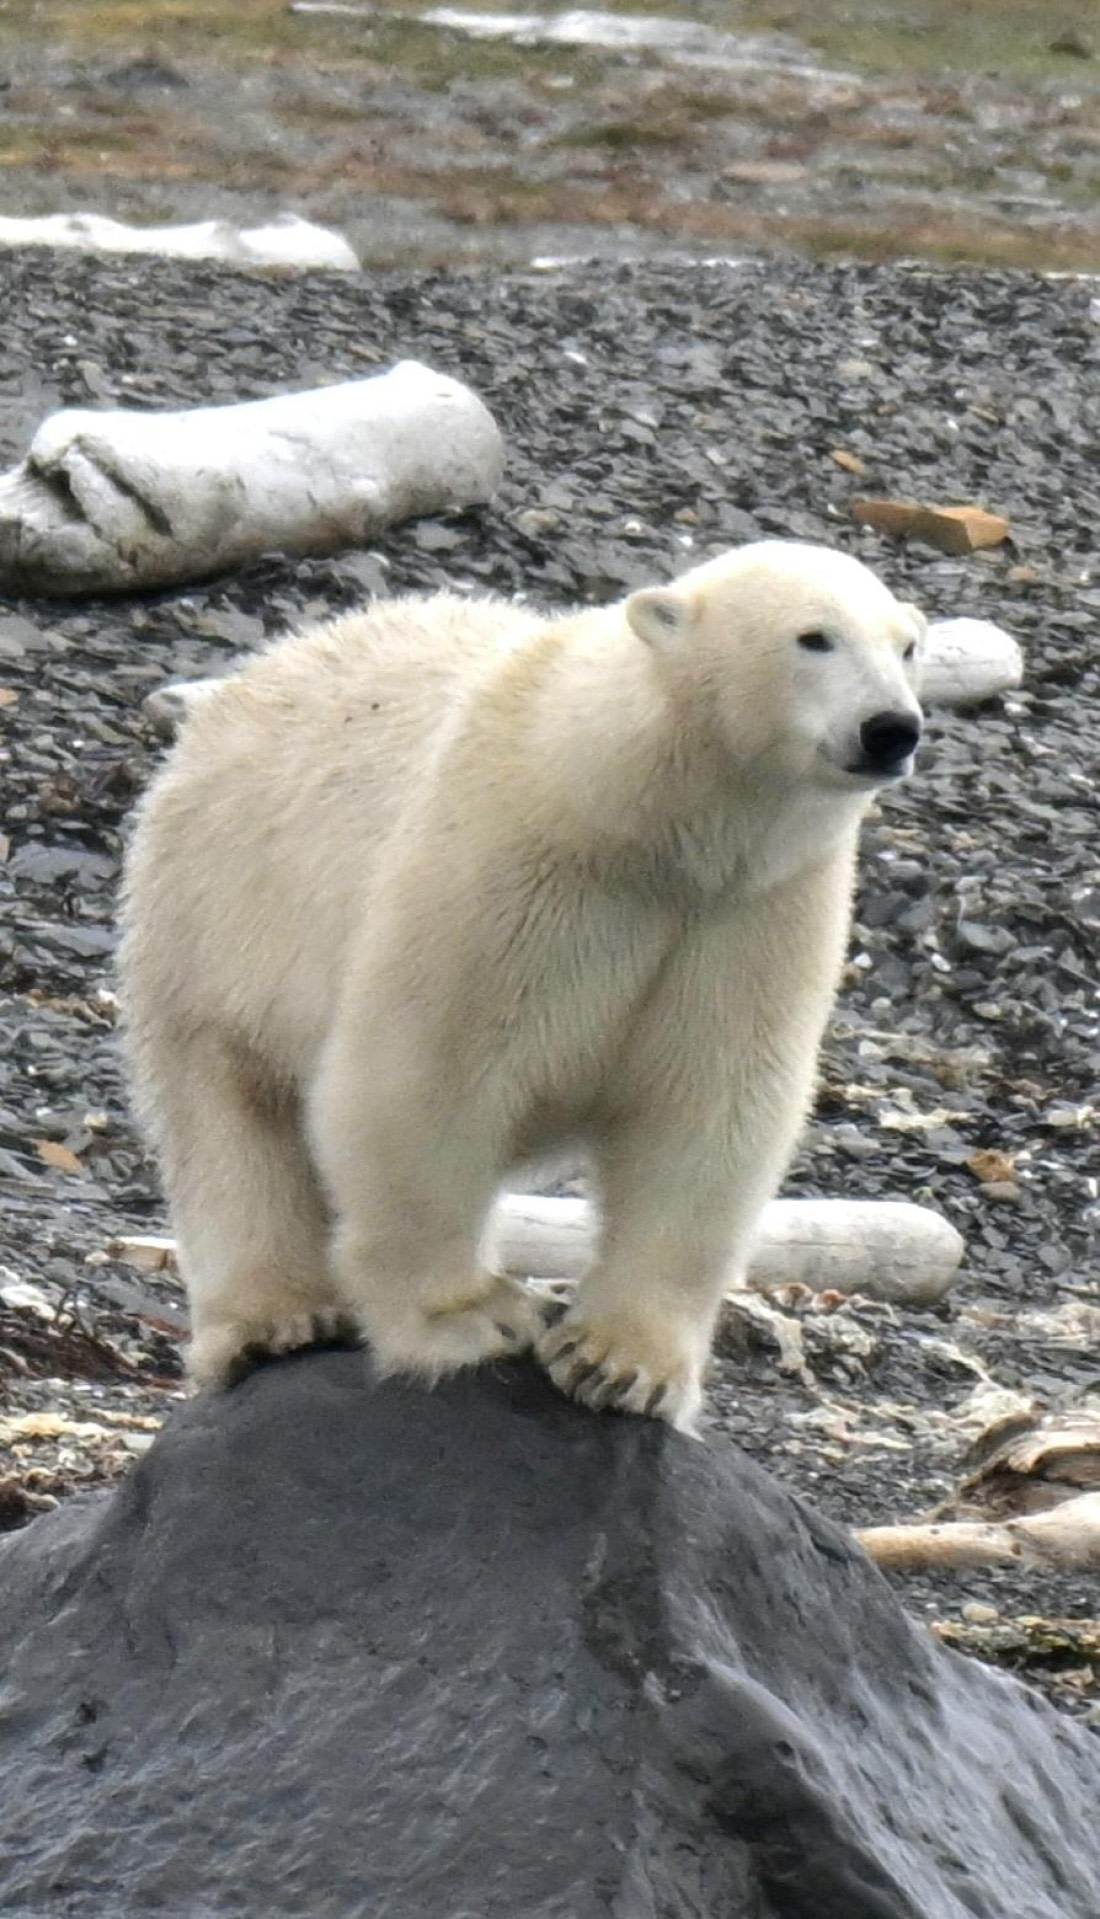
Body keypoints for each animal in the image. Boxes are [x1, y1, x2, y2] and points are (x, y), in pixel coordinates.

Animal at [119, 541, 924, 1432]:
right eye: (813, 636)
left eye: (907, 646)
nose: (892, 728)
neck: (649, 819)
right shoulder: (515, 870)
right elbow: (426, 1078)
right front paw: (470, 1317)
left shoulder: (753, 913)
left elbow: (709, 1111)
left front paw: (623, 1364)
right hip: (216, 913)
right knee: (229, 1114)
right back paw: (276, 1319)